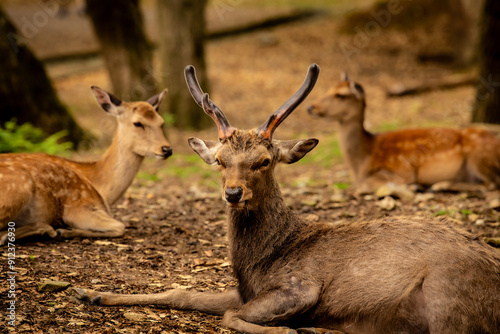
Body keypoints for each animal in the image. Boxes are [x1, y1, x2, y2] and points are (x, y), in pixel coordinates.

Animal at [0, 87, 172, 244]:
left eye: (161, 123)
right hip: (19, 187)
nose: (167, 149)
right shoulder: (78, 205)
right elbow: (120, 226)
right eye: (137, 123)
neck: (101, 188)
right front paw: (65, 231)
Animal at [306, 73, 500, 193]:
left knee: (492, 183)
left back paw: (438, 185)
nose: (311, 107)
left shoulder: (403, 169)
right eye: (329, 89)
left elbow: (369, 184)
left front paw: (414, 187)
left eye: (340, 95)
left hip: (479, 156)